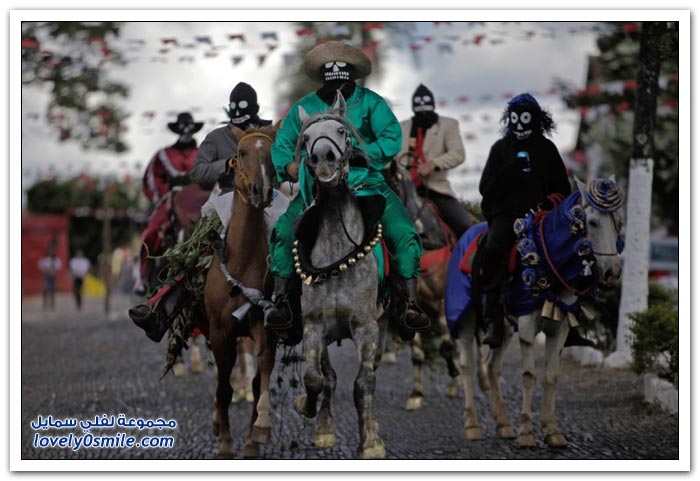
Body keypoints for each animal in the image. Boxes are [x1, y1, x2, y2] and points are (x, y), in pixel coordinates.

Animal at [292, 93, 388, 458]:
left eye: (342, 131)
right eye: (306, 137)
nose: (323, 157)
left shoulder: (366, 326)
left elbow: (364, 383)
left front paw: (370, 441)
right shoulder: (314, 325)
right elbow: (316, 378)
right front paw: (309, 412)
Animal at [448, 176, 624, 446]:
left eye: (618, 222)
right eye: (592, 222)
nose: (612, 272)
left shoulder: (560, 328)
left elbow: (551, 375)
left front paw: (552, 430)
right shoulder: (527, 326)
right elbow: (529, 375)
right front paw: (527, 431)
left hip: (504, 329)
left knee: (492, 367)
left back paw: (503, 424)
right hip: (466, 320)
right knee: (467, 365)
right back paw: (473, 424)